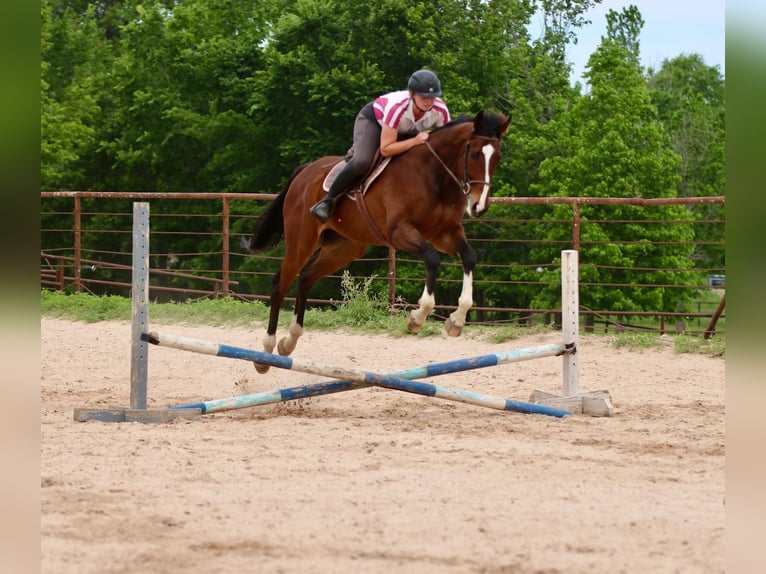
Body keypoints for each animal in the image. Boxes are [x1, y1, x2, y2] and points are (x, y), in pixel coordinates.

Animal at [244, 110, 511, 373]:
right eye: (474, 154)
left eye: (497, 158)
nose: (479, 207)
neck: (434, 174)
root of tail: (305, 171)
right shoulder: (400, 232)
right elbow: (432, 259)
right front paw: (417, 317)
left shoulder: (445, 233)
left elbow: (469, 257)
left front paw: (456, 320)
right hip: (302, 241)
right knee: (280, 286)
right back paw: (265, 353)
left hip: (344, 248)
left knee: (306, 277)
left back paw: (289, 341)